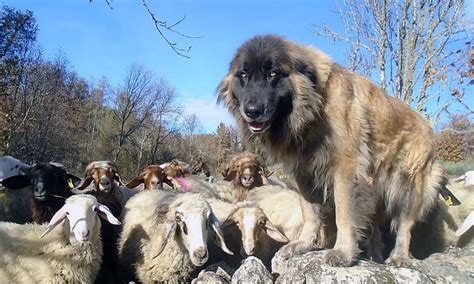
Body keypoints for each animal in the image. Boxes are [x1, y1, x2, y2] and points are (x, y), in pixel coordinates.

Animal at [218, 35, 444, 266]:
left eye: (273, 73)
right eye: (243, 74)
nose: (252, 111)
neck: (314, 107)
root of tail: (427, 126)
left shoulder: (345, 169)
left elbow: (344, 214)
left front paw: (343, 252)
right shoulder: (304, 174)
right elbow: (310, 213)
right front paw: (304, 244)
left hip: (406, 184)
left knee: (405, 224)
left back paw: (399, 255)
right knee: (375, 227)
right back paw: (374, 255)